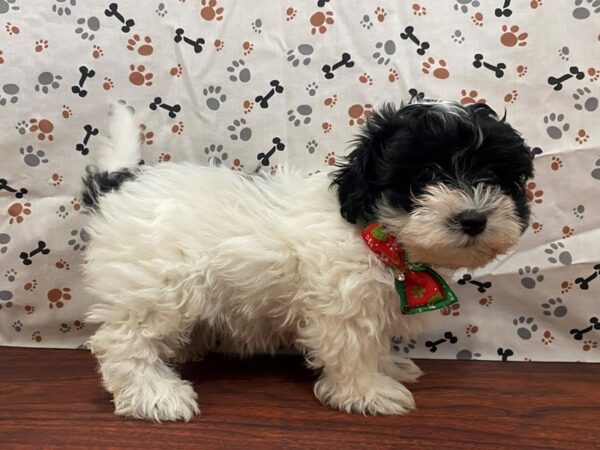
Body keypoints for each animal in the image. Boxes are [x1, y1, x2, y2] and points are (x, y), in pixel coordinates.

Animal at [82, 102, 532, 422]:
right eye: (425, 175)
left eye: (495, 176)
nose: (473, 219)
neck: (377, 235)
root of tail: (117, 186)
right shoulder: (342, 306)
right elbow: (353, 350)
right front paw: (368, 391)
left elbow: (375, 342)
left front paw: (388, 366)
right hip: (155, 286)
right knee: (122, 341)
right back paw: (154, 394)